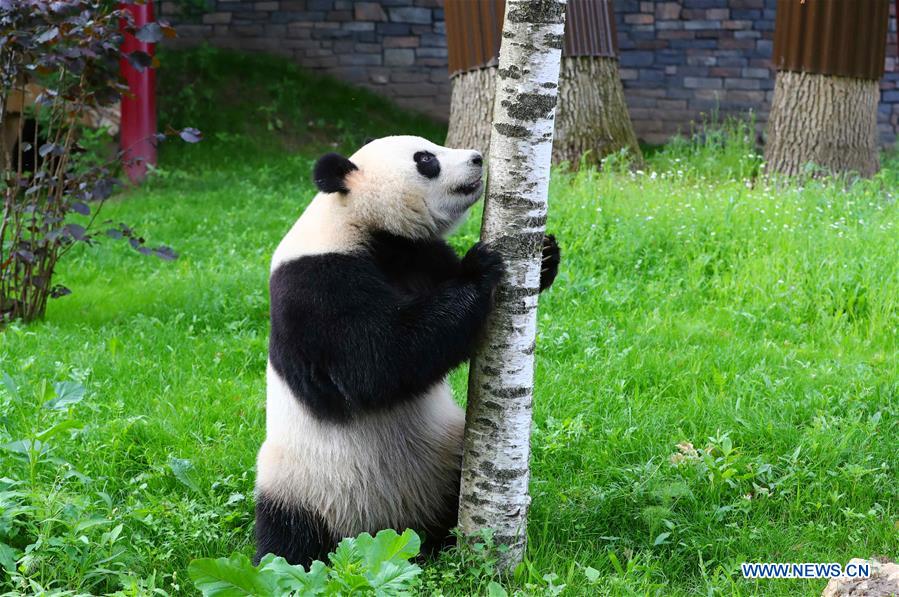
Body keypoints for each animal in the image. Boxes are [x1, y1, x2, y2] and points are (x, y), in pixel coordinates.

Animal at [254, 135, 560, 567]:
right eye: (426, 159)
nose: (477, 158)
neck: (358, 223)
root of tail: (384, 528)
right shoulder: (314, 284)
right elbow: (376, 362)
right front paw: (480, 268)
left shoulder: (418, 255)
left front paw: (546, 255)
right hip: (300, 482)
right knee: (288, 537)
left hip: (445, 451)